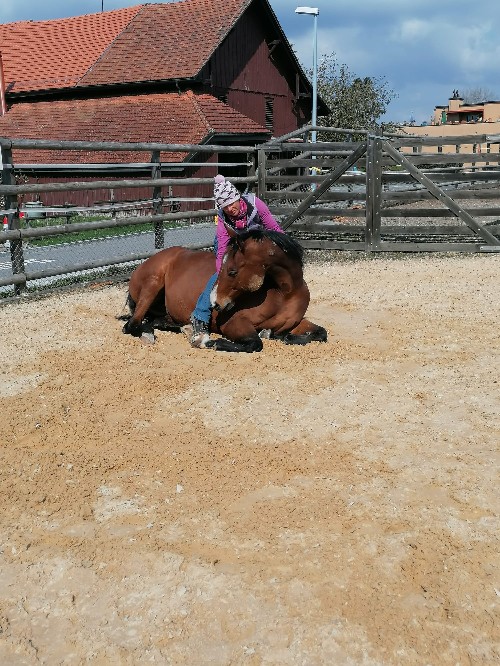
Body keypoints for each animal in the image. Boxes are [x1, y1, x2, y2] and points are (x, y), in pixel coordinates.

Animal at [121, 226, 327, 352]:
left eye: (232, 271)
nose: (215, 303)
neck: (284, 294)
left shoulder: (295, 323)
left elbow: (321, 333)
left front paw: (282, 336)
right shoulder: (234, 324)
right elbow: (255, 343)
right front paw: (209, 341)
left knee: (154, 321)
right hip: (152, 284)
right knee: (132, 324)